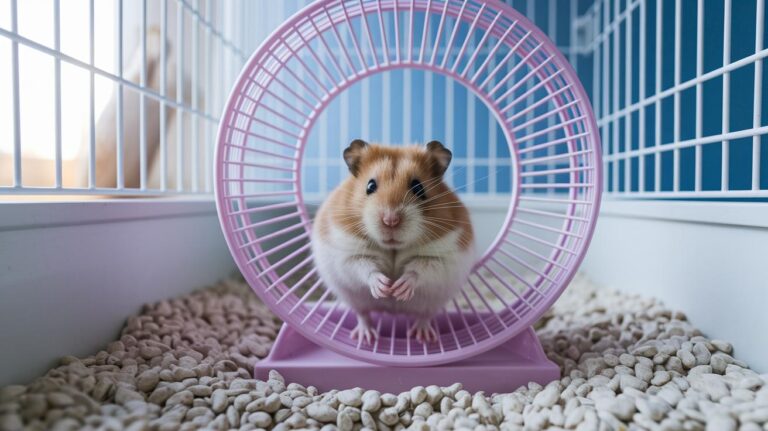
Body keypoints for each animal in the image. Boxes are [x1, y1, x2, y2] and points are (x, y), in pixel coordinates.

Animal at [311, 139, 475, 344]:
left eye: (418, 187)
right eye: (370, 186)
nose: (390, 220)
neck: (393, 247)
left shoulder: (442, 258)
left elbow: (418, 270)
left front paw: (398, 289)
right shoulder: (348, 254)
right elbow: (366, 268)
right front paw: (384, 287)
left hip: (433, 302)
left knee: (424, 316)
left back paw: (423, 336)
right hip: (353, 299)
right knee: (363, 315)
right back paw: (365, 337)